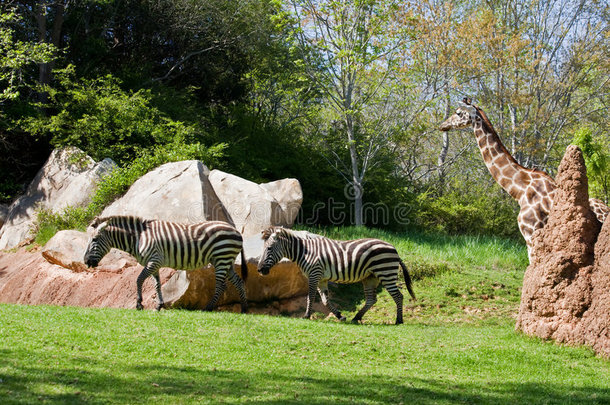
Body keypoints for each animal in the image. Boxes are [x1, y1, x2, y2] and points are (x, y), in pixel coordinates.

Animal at [83, 216, 247, 310]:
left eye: (94, 239)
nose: (85, 261)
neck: (139, 238)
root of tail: (236, 231)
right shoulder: (154, 264)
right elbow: (157, 284)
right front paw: (159, 305)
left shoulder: (154, 260)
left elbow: (139, 279)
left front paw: (139, 304)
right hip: (226, 261)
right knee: (238, 281)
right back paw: (244, 308)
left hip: (221, 258)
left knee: (221, 285)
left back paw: (208, 308)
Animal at [254, 226, 416, 324]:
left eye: (269, 248)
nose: (260, 270)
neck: (304, 252)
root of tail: (393, 248)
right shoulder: (321, 279)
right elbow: (325, 300)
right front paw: (340, 316)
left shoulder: (314, 274)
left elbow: (310, 297)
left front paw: (306, 316)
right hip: (370, 278)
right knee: (371, 299)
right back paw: (356, 317)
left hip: (385, 273)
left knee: (398, 296)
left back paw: (399, 320)